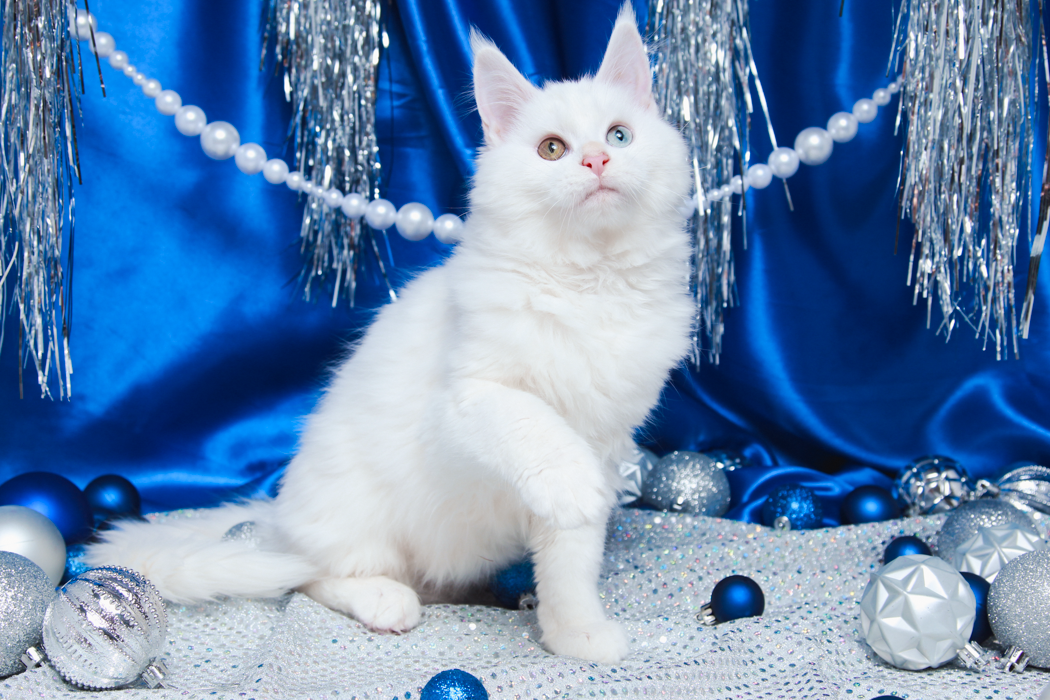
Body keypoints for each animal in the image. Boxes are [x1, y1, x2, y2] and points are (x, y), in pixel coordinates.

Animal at [86, 5, 693, 664]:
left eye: (618, 136)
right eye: (552, 149)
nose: (596, 161)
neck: (590, 284)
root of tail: (279, 513)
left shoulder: (605, 439)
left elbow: (570, 563)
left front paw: (575, 633)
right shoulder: (467, 400)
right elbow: (534, 426)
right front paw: (572, 484)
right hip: (353, 511)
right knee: (310, 577)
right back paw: (385, 600)